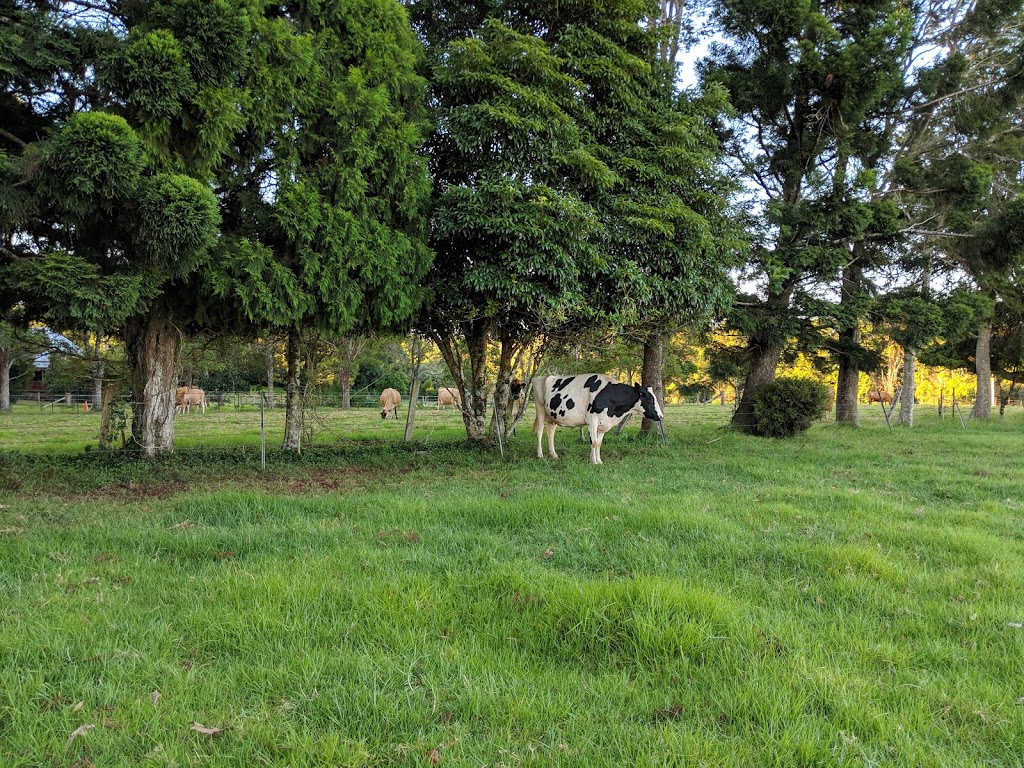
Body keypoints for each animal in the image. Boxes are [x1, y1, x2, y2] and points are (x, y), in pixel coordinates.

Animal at [532, 372, 667, 462]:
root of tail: (541, 377)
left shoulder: (604, 423)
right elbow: (594, 442)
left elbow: (599, 443)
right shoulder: (592, 420)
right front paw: (593, 461)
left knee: (550, 433)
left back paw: (553, 454)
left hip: (553, 416)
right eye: (650, 400)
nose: (661, 416)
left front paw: (598, 461)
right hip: (540, 409)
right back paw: (540, 454)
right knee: (539, 432)